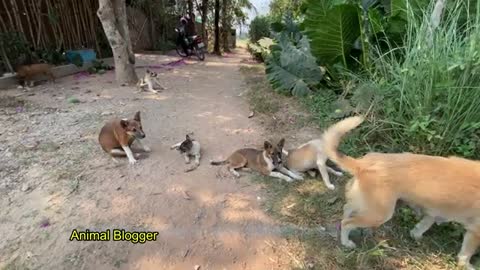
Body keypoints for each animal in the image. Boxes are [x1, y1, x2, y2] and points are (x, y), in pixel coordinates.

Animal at [322, 116, 480, 270]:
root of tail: (364, 163)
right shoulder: (474, 232)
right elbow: (465, 254)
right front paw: (467, 266)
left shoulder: (434, 212)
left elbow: (422, 226)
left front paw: (416, 236)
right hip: (379, 214)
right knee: (347, 223)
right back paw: (346, 242)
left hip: (368, 205)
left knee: (346, 210)